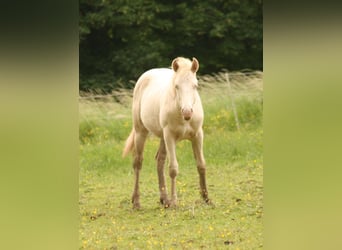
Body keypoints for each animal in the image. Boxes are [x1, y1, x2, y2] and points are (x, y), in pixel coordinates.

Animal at [121, 56, 210, 209]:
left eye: (195, 86)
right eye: (177, 86)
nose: (187, 112)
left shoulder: (197, 135)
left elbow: (201, 165)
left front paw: (206, 198)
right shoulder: (170, 136)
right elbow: (173, 169)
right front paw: (174, 202)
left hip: (162, 137)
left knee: (160, 160)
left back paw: (164, 199)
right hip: (141, 131)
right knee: (138, 162)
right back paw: (137, 202)